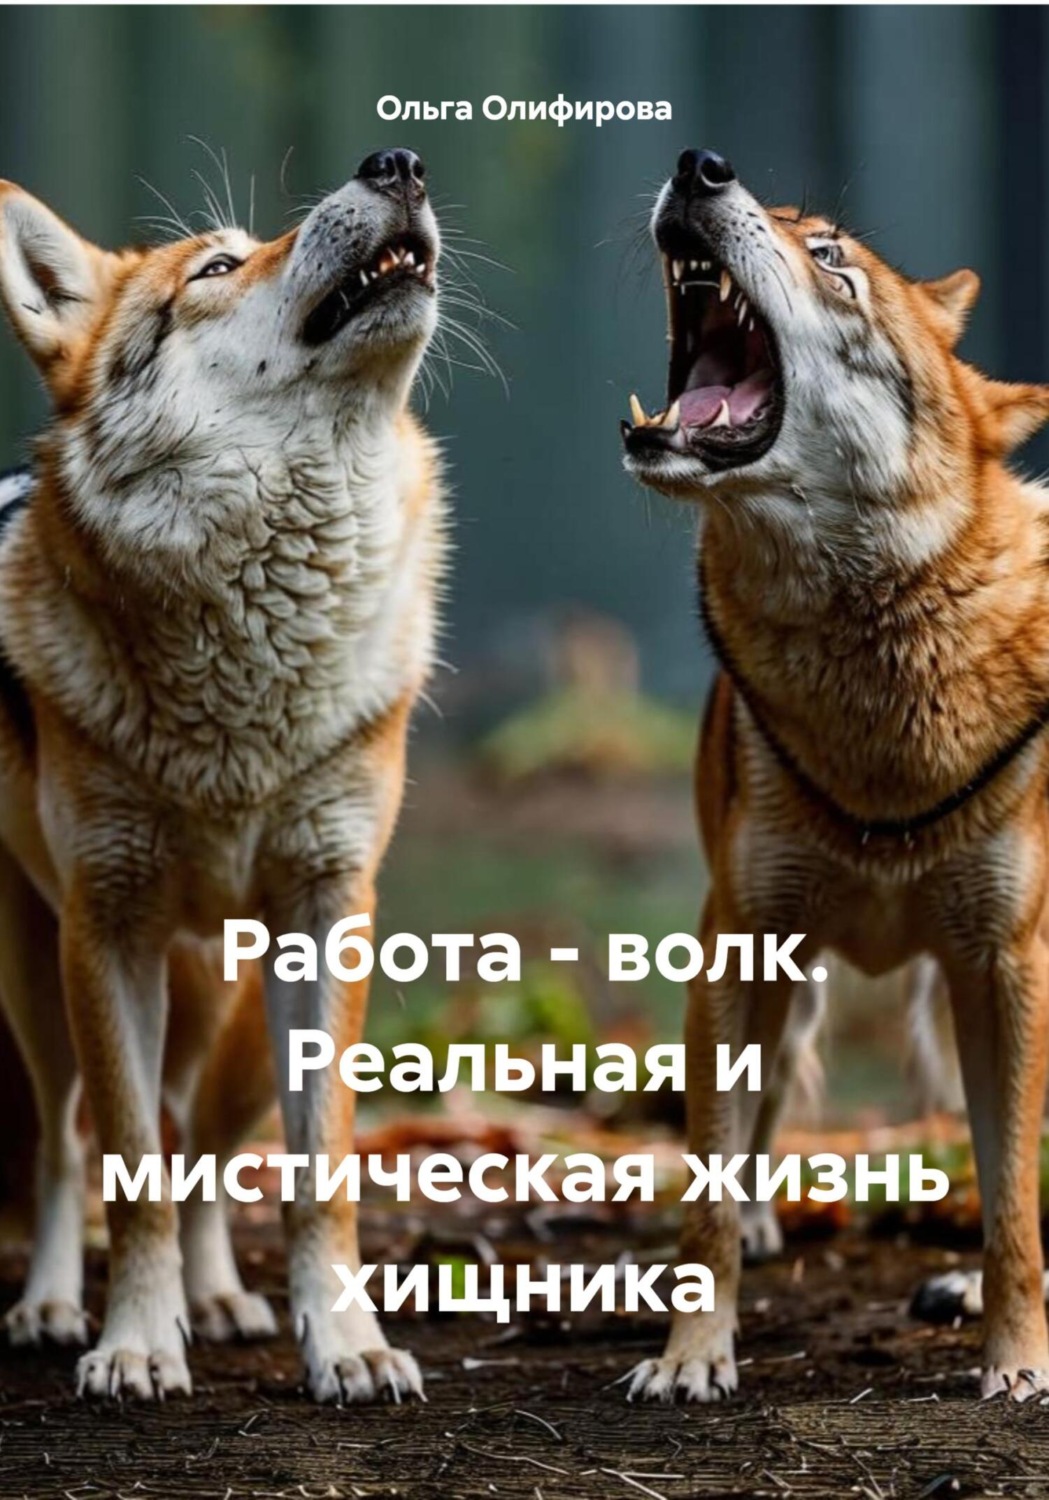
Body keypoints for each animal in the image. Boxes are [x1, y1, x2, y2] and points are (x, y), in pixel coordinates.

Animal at [0, 147, 444, 1402]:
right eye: (213, 266)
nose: (398, 161)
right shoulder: (107, 928)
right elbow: (129, 1171)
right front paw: (134, 1347)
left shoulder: (327, 914)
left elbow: (318, 1174)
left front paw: (345, 1345)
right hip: (37, 986)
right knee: (71, 1147)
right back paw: (53, 1307)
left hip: (237, 1016)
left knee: (204, 1144)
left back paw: (221, 1300)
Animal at [622, 146, 1049, 1402]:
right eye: (782, 222)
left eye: (832, 259)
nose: (698, 165)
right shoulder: (734, 939)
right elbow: (707, 1195)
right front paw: (691, 1358)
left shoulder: (1002, 966)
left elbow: (1010, 1206)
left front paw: (1013, 1361)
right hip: (785, 970)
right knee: (763, 1103)